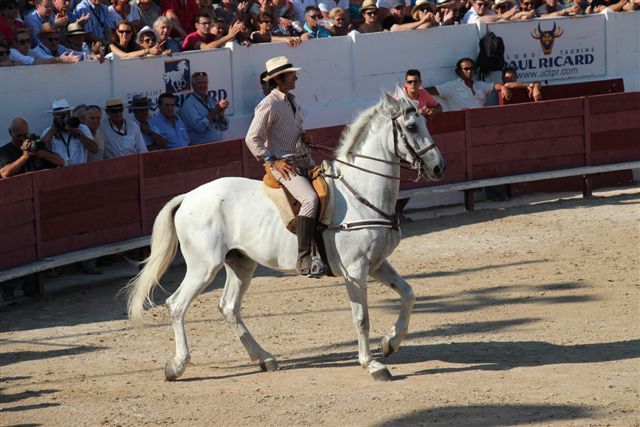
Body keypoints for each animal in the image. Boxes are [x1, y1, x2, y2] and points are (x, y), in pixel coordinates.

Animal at [125, 89, 446, 381]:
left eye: (425, 122)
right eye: (411, 126)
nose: (438, 166)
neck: (360, 192)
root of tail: (189, 197)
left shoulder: (377, 264)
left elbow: (408, 294)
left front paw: (391, 342)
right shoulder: (355, 270)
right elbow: (362, 317)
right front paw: (373, 364)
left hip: (241, 263)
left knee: (229, 307)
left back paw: (264, 358)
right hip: (203, 267)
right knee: (177, 305)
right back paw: (177, 366)